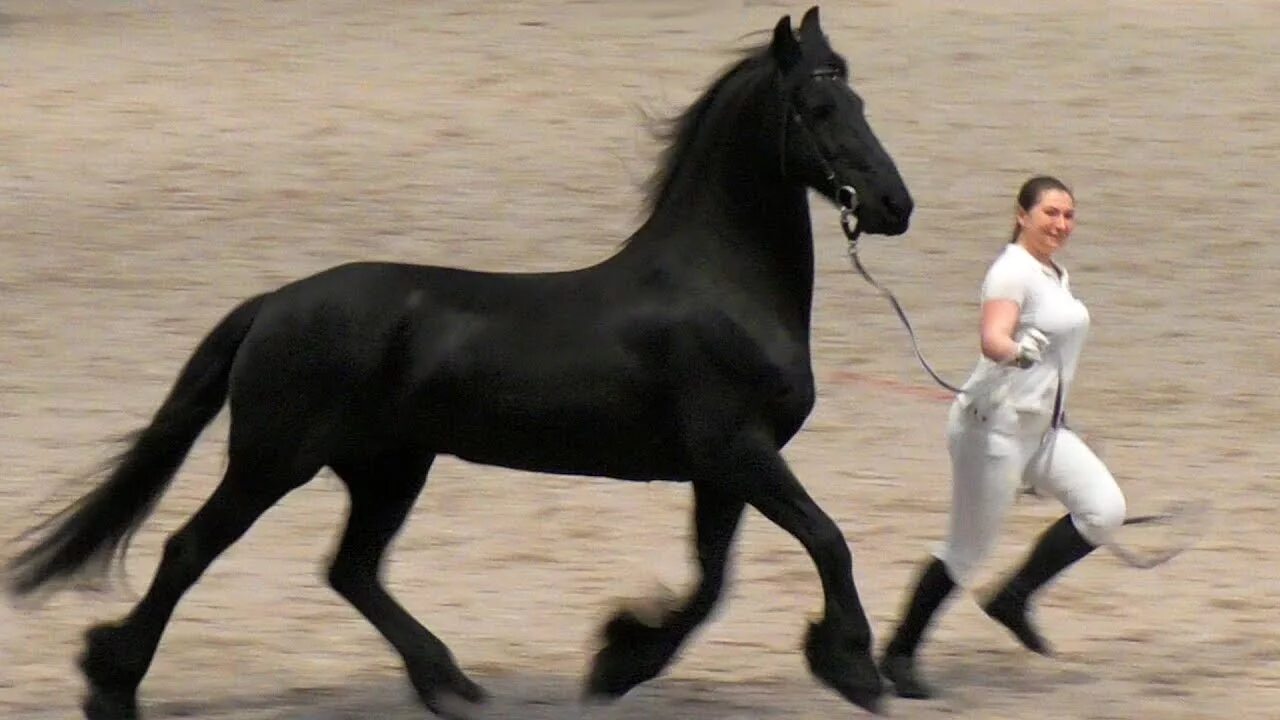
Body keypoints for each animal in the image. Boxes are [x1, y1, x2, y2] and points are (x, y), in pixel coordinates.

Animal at [7, 7, 911, 717]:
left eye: (864, 100)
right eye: (820, 106)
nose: (895, 205)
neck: (718, 283)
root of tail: (272, 303)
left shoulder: (719, 472)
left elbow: (709, 585)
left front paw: (618, 661)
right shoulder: (737, 453)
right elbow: (825, 540)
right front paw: (855, 670)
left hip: (388, 468)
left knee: (351, 570)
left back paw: (449, 683)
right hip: (274, 463)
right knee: (190, 552)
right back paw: (111, 685)